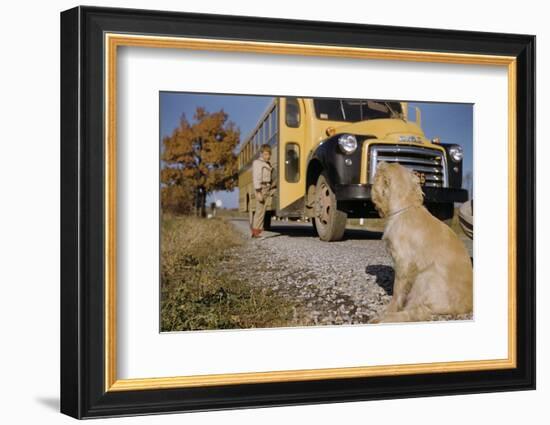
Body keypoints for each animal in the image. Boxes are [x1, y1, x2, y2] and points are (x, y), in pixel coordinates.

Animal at [370, 161, 474, 322]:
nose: (381, 162)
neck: (405, 207)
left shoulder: (403, 262)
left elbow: (397, 290)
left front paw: (389, 309)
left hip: (425, 277)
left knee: (418, 311)